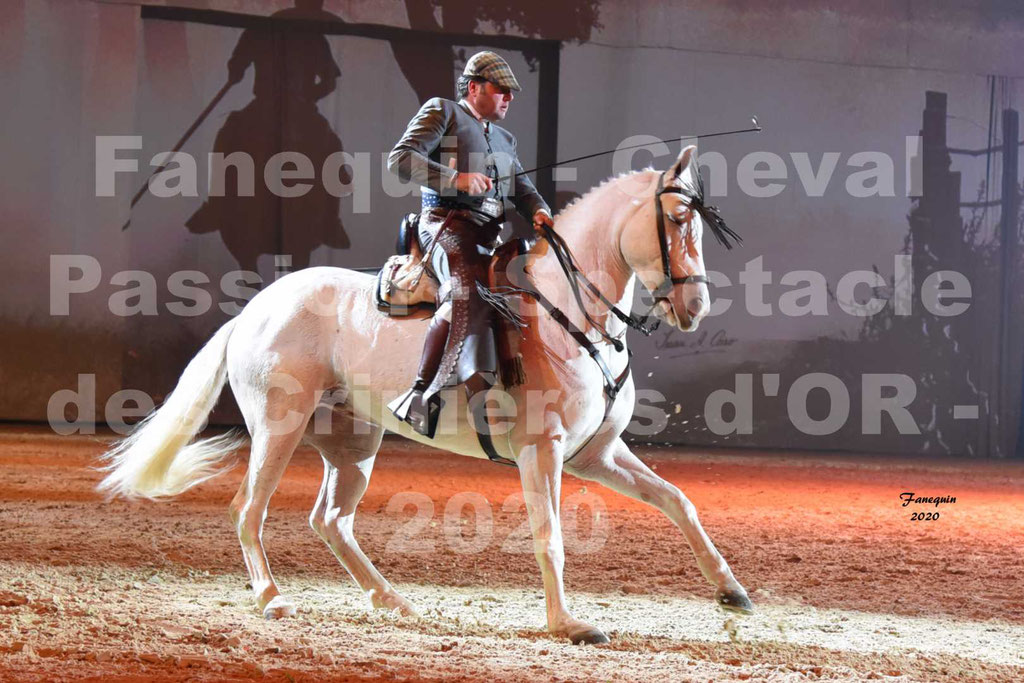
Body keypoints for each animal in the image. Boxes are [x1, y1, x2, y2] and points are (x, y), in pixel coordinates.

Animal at [97, 145, 753, 647]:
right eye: (677, 222)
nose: (696, 307)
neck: (568, 314)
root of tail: (254, 310)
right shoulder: (543, 450)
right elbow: (551, 536)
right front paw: (569, 625)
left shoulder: (595, 454)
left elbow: (677, 501)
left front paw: (731, 590)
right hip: (279, 430)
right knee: (248, 509)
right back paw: (273, 598)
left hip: (353, 446)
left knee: (330, 520)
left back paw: (392, 600)